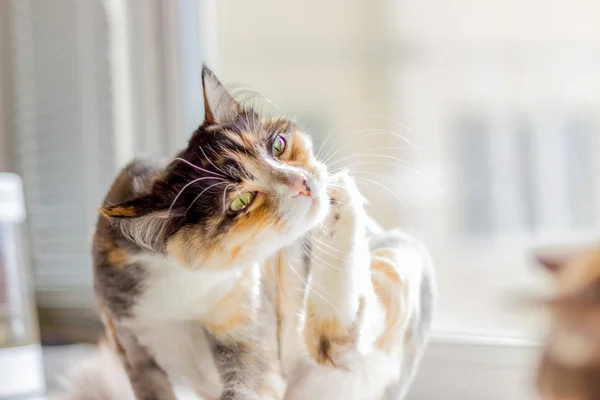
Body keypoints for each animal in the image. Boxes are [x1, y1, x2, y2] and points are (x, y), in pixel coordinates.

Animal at [52, 66, 436, 400]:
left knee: (339, 336)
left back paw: (343, 196)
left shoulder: (247, 324)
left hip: (400, 264)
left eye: (278, 146)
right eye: (240, 201)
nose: (304, 183)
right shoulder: (130, 343)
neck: (178, 291)